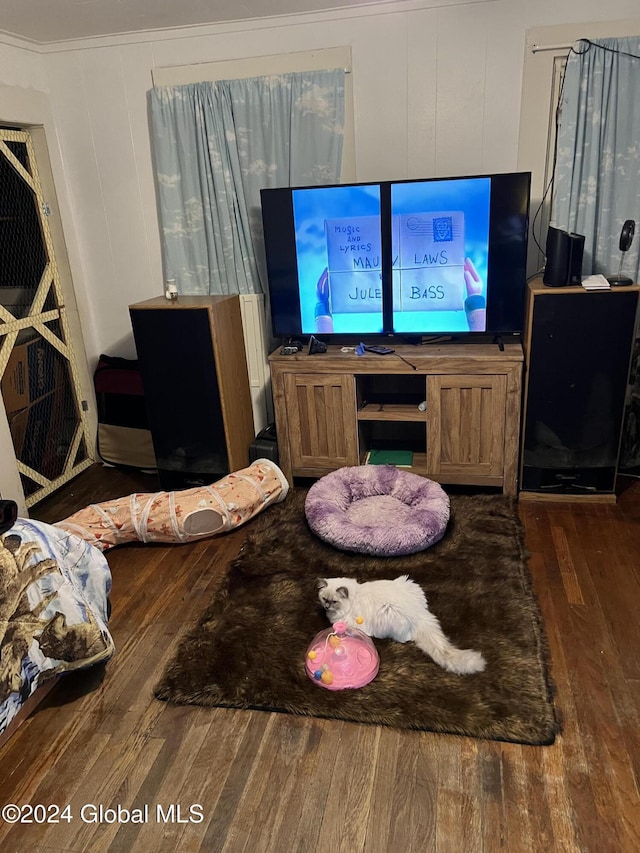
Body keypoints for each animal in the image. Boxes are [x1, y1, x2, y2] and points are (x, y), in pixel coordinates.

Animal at [318, 576, 488, 676]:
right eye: (324, 599)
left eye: (334, 601)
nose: (326, 606)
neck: (355, 595)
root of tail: (420, 614)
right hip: (410, 584)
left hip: (390, 614)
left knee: (405, 638)